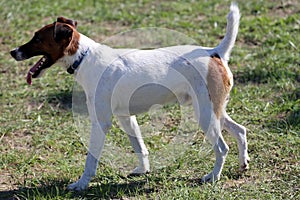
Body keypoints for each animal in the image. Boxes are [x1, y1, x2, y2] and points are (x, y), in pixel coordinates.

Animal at [10, 3, 248, 191]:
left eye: (37, 38)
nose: (13, 52)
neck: (84, 57)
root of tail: (214, 52)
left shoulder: (101, 123)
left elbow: (91, 160)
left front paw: (81, 184)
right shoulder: (126, 118)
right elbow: (140, 147)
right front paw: (143, 170)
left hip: (205, 114)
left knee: (222, 147)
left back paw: (213, 177)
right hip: (215, 110)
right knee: (240, 130)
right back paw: (243, 163)